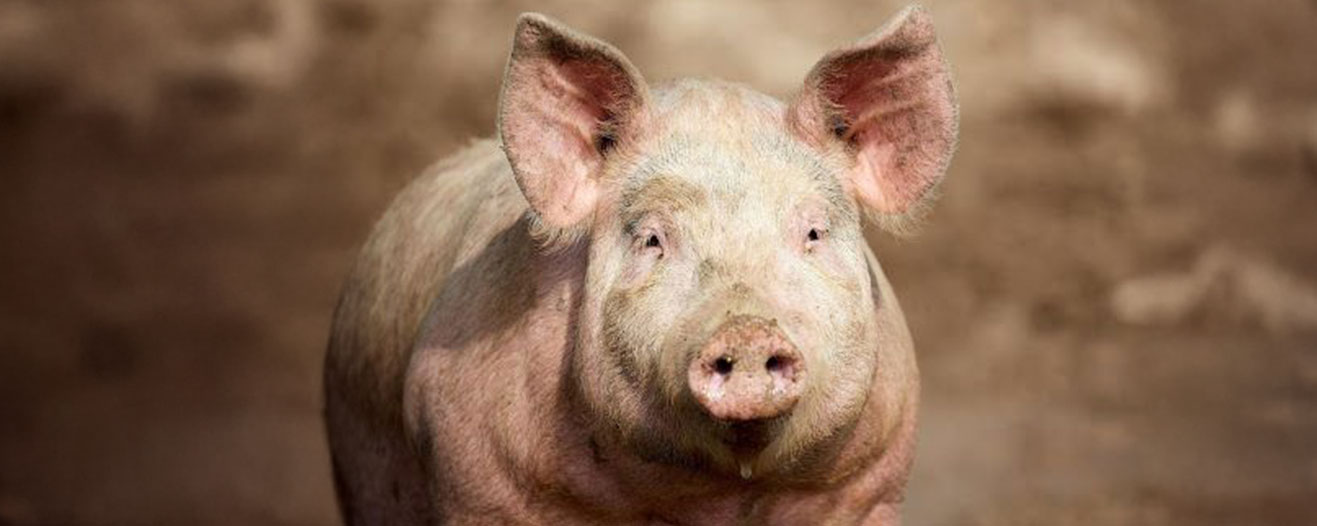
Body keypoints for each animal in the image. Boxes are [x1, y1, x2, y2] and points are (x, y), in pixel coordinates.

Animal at [324, 5, 957, 525]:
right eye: (652, 238)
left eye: (813, 233)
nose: (747, 328)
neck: (717, 497)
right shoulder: (476, 480)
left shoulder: (872, 485)